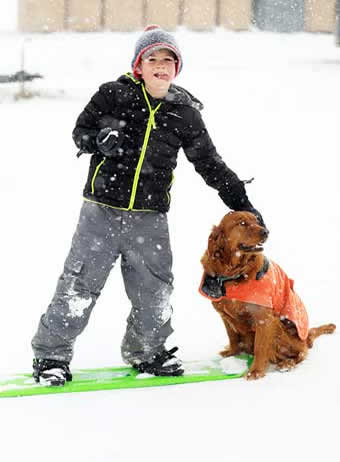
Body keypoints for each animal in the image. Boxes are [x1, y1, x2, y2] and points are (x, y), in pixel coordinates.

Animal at [199, 211, 334, 380]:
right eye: (242, 223)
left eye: (256, 220)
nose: (266, 232)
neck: (234, 275)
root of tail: (306, 337)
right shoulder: (224, 315)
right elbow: (233, 337)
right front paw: (232, 354)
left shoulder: (264, 317)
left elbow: (260, 347)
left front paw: (255, 371)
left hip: (281, 328)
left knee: (301, 353)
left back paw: (287, 363)